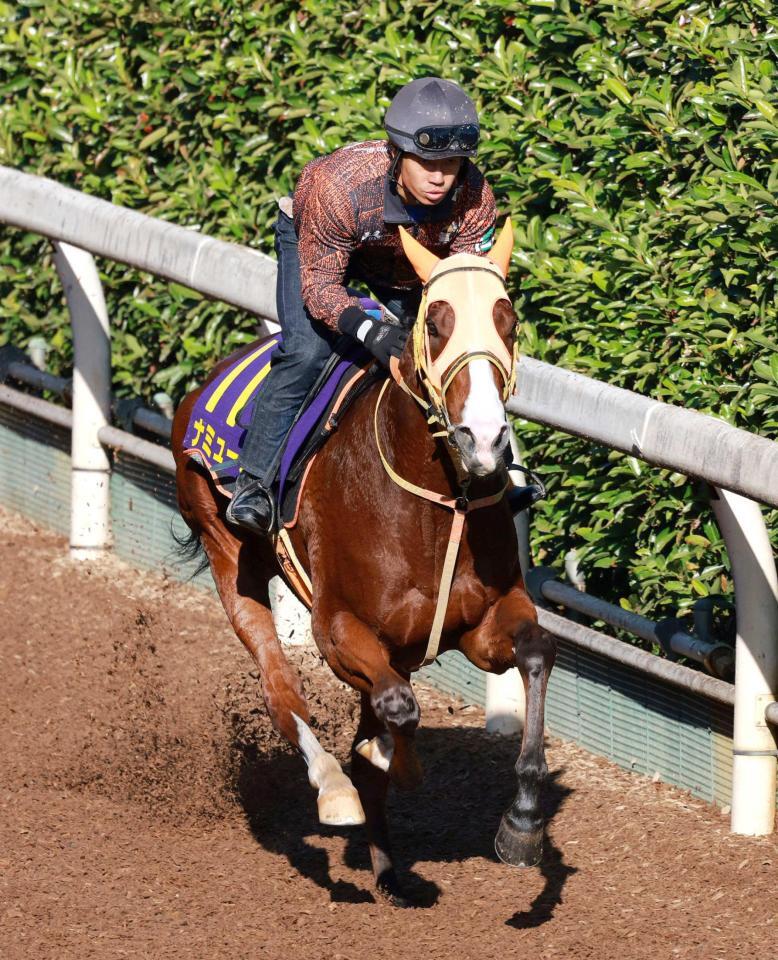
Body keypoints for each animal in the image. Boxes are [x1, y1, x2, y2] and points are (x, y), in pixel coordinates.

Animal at [172, 221, 556, 904]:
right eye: (437, 321)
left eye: (508, 319)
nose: (484, 439)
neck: (433, 501)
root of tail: (199, 387)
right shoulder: (338, 627)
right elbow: (398, 709)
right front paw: (386, 763)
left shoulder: (482, 623)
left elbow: (535, 653)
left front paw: (524, 825)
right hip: (226, 552)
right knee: (279, 685)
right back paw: (335, 788)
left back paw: (388, 870)